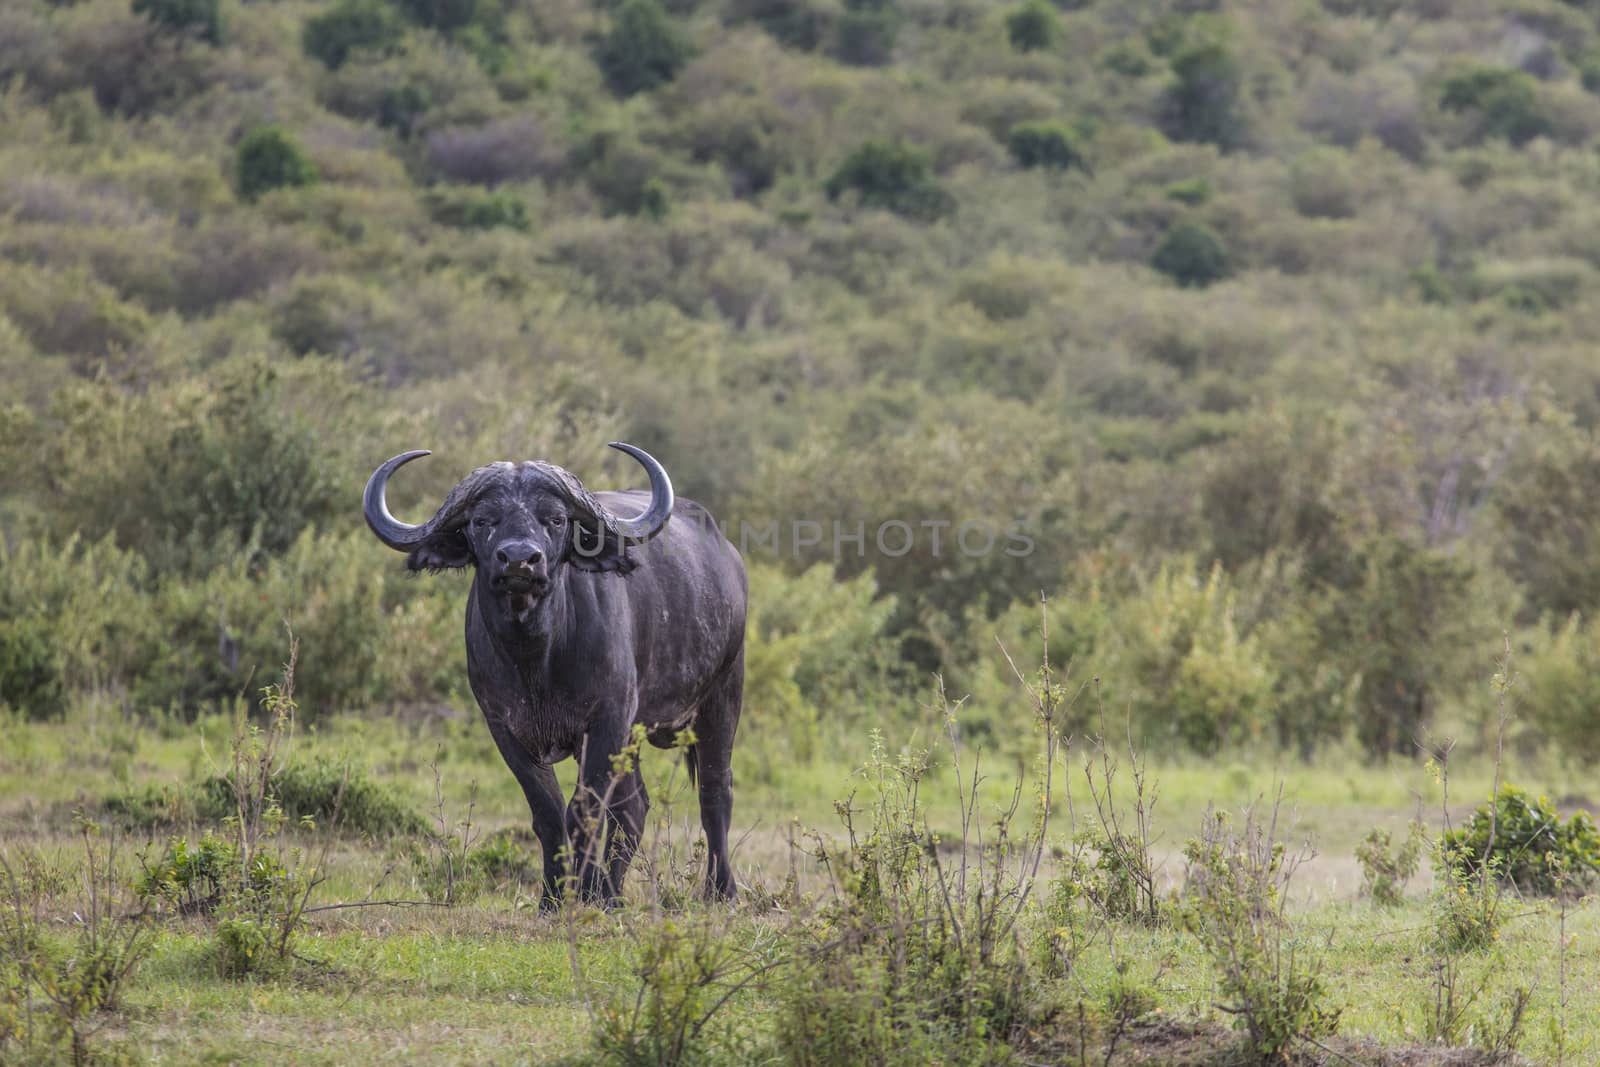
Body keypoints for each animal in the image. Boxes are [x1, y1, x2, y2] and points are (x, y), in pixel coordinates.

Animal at [360, 447, 745, 908]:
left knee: (715, 792)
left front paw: (583, 892)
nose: (519, 560)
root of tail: (728, 557)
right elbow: (548, 811)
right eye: (481, 520)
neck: (537, 662)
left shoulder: (606, 719)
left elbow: (586, 809)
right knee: (635, 806)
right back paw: (613, 893)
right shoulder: (504, 728)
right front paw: (554, 897)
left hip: (723, 695)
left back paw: (719, 890)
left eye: (556, 519)